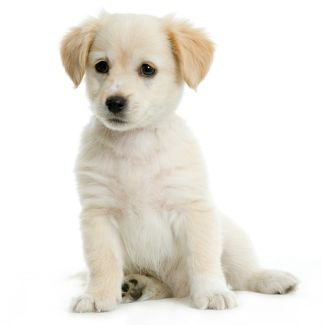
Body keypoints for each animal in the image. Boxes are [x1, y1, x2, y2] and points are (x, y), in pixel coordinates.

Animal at [61, 12, 298, 312]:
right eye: (102, 66)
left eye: (147, 69)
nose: (114, 102)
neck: (135, 142)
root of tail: (179, 287)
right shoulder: (98, 214)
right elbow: (103, 261)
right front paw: (98, 295)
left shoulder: (192, 209)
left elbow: (203, 257)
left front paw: (212, 292)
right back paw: (134, 285)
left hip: (231, 237)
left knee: (242, 273)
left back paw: (271, 278)